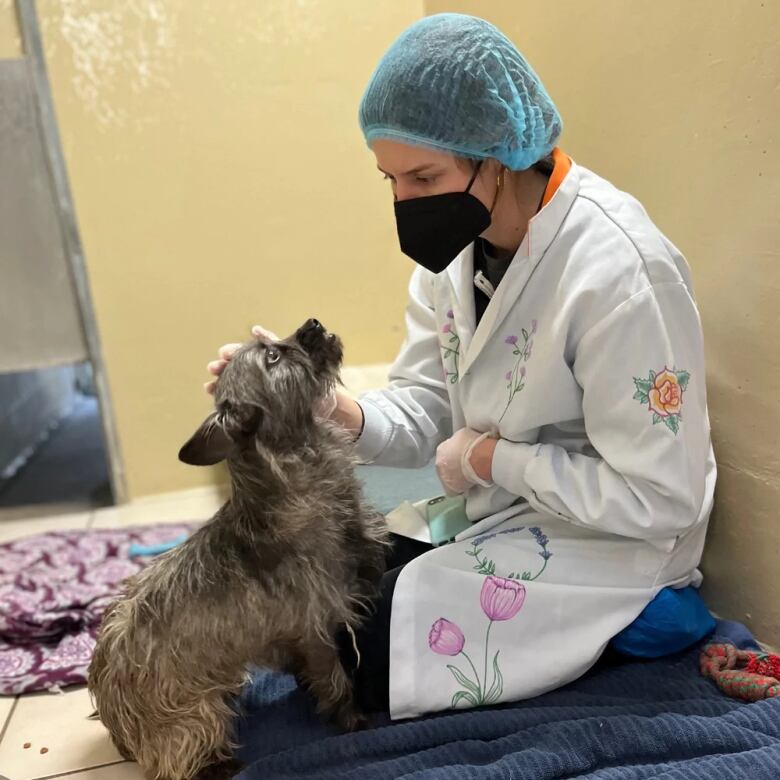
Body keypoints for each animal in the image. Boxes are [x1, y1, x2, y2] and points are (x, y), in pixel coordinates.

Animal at [89, 318, 390, 780]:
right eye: (273, 356)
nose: (313, 323)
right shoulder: (316, 628)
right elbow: (336, 681)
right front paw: (353, 722)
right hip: (193, 716)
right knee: (179, 760)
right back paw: (222, 765)